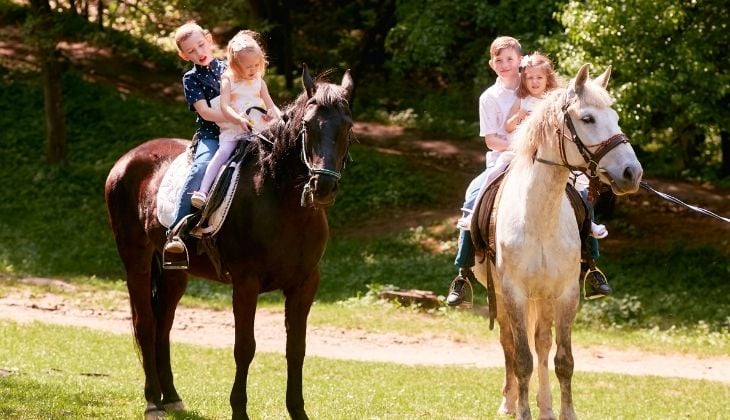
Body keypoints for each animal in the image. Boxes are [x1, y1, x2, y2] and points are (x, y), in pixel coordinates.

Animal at [104, 65, 352, 416]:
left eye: (348, 126)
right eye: (307, 125)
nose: (323, 187)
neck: (280, 198)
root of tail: (127, 159)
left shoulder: (305, 284)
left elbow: (296, 349)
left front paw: (297, 411)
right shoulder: (246, 283)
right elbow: (244, 347)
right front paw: (239, 411)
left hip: (174, 271)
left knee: (164, 323)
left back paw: (171, 396)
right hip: (135, 258)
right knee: (146, 323)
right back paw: (153, 401)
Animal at [470, 63, 640, 420]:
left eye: (616, 117)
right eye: (587, 118)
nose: (633, 173)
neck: (539, 218)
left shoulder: (565, 293)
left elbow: (563, 359)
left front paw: (564, 412)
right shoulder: (514, 292)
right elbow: (522, 358)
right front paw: (522, 411)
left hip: (544, 297)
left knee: (542, 344)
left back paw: (545, 407)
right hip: (503, 297)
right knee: (510, 343)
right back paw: (509, 403)